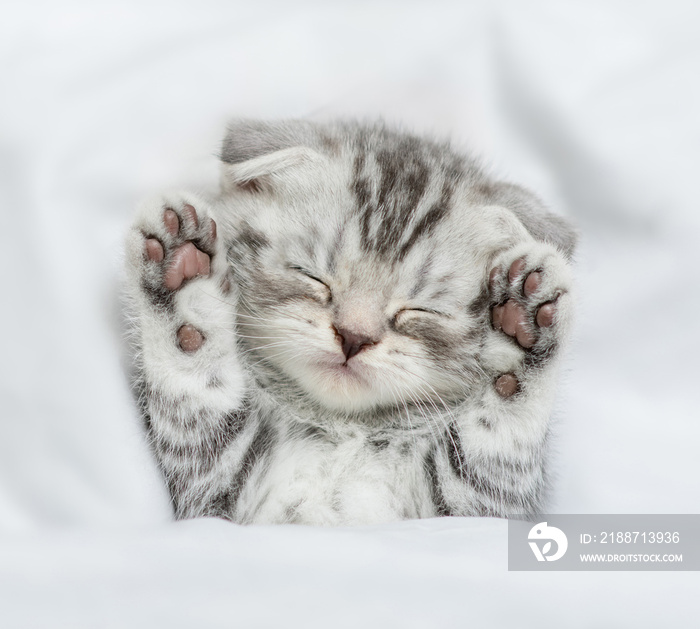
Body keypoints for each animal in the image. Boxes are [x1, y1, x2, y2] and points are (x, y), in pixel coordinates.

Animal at [124, 119, 576, 524]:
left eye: (420, 309)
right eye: (311, 275)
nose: (354, 337)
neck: (343, 429)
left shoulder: (470, 509)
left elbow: (498, 445)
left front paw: (520, 333)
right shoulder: (216, 490)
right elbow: (195, 387)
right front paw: (185, 283)